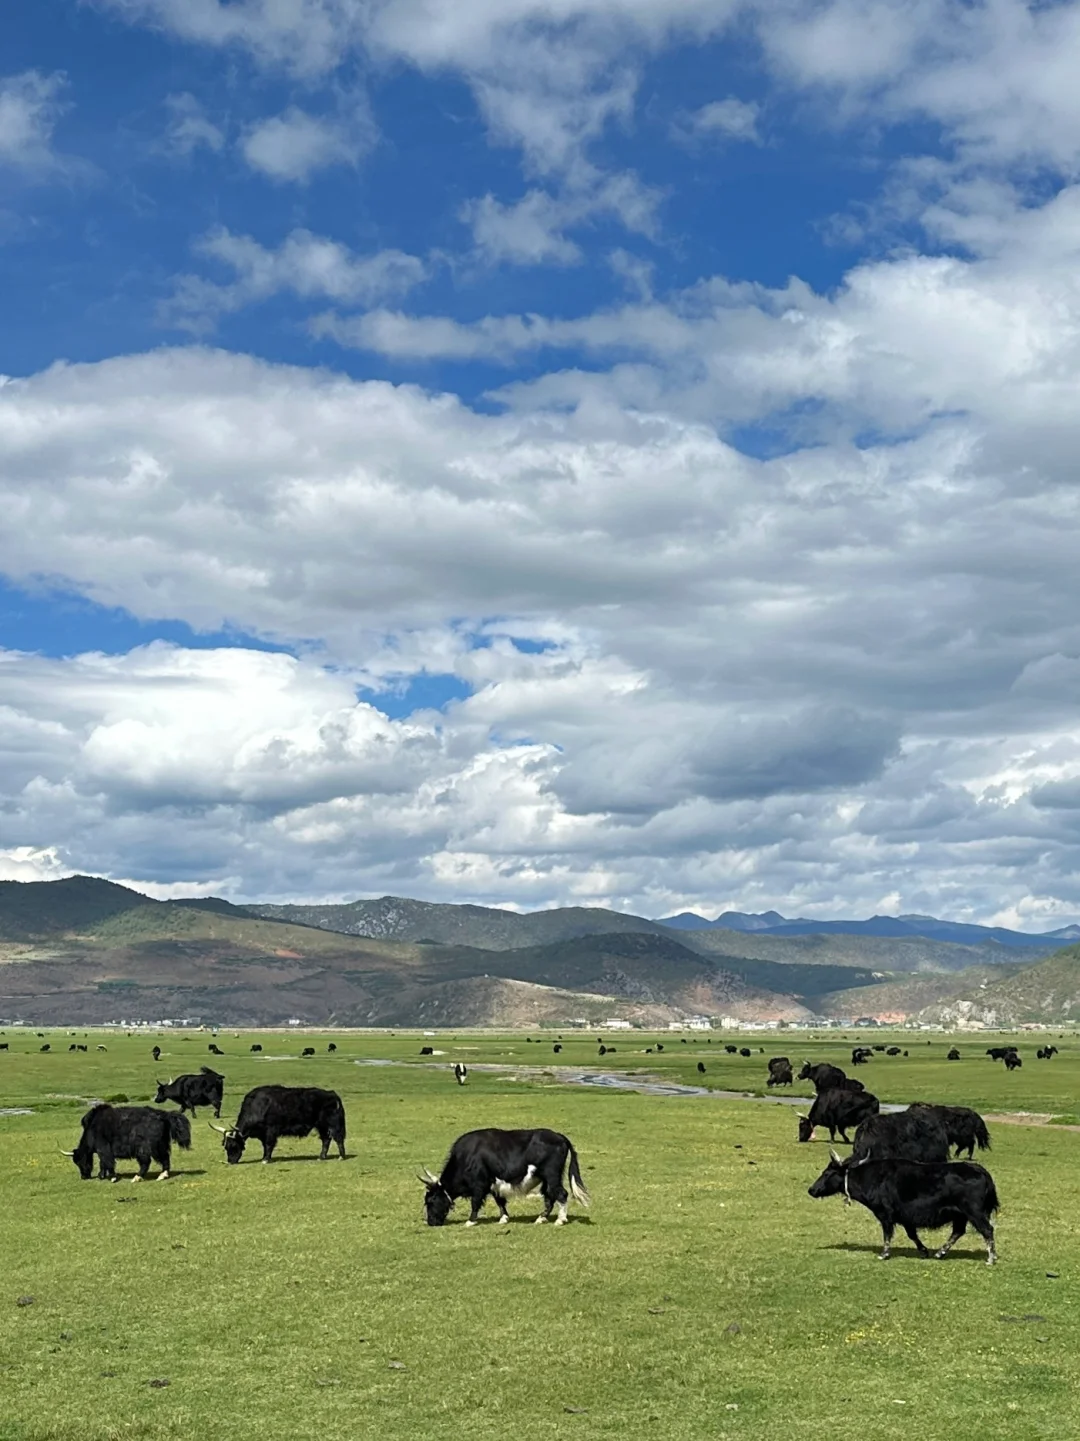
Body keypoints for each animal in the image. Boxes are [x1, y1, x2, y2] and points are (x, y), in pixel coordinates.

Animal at [62, 1100, 191, 1181]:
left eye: (79, 1161)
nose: (84, 1177)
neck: (91, 1129)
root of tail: (163, 1115)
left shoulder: (103, 1148)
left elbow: (107, 1161)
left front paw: (112, 1177)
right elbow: (102, 1163)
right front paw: (102, 1176)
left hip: (145, 1148)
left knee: (146, 1162)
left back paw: (137, 1178)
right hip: (160, 1145)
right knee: (165, 1158)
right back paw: (162, 1176)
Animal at [210, 1083, 346, 1164]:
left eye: (233, 1145)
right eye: (225, 1146)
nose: (231, 1161)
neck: (257, 1107)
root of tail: (333, 1094)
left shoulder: (271, 1130)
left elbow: (269, 1144)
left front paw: (265, 1160)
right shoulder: (262, 1134)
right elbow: (264, 1146)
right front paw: (264, 1157)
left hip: (333, 1124)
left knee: (338, 1138)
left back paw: (341, 1157)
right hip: (321, 1126)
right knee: (326, 1139)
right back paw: (321, 1157)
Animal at [421, 1123, 591, 1227]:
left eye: (431, 1200)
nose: (431, 1222)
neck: (465, 1158)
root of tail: (559, 1136)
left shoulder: (479, 1185)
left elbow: (476, 1202)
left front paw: (470, 1221)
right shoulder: (494, 1184)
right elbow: (500, 1201)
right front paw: (503, 1218)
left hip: (551, 1175)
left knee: (561, 1193)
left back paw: (560, 1220)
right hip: (546, 1178)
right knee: (549, 1195)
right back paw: (540, 1218)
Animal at [807, 1147, 997, 1262]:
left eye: (827, 1173)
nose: (811, 1190)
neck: (873, 1178)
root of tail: (980, 1170)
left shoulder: (885, 1215)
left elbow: (887, 1234)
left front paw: (883, 1254)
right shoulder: (905, 1217)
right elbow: (912, 1235)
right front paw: (924, 1251)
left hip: (974, 1212)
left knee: (987, 1230)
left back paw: (991, 1258)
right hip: (960, 1215)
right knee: (958, 1232)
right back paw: (939, 1253)